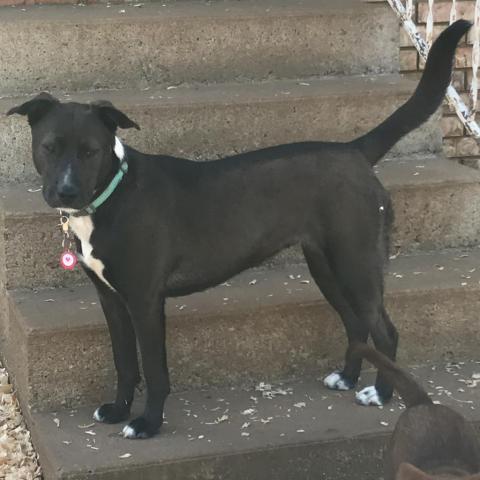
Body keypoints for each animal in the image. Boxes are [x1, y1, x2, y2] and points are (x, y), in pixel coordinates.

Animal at [7, 21, 470, 438]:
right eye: (49, 147)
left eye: (91, 151)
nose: (65, 191)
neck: (112, 195)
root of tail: (353, 151)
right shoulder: (112, 300)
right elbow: (124, 363)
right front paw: (119, 409)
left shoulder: (145, 301)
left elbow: (154, 370)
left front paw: (148, 423)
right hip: (325, 265)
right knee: (357, 325)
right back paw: (347, 378)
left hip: (356, 264)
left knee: (385, 331)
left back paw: (382, 394)